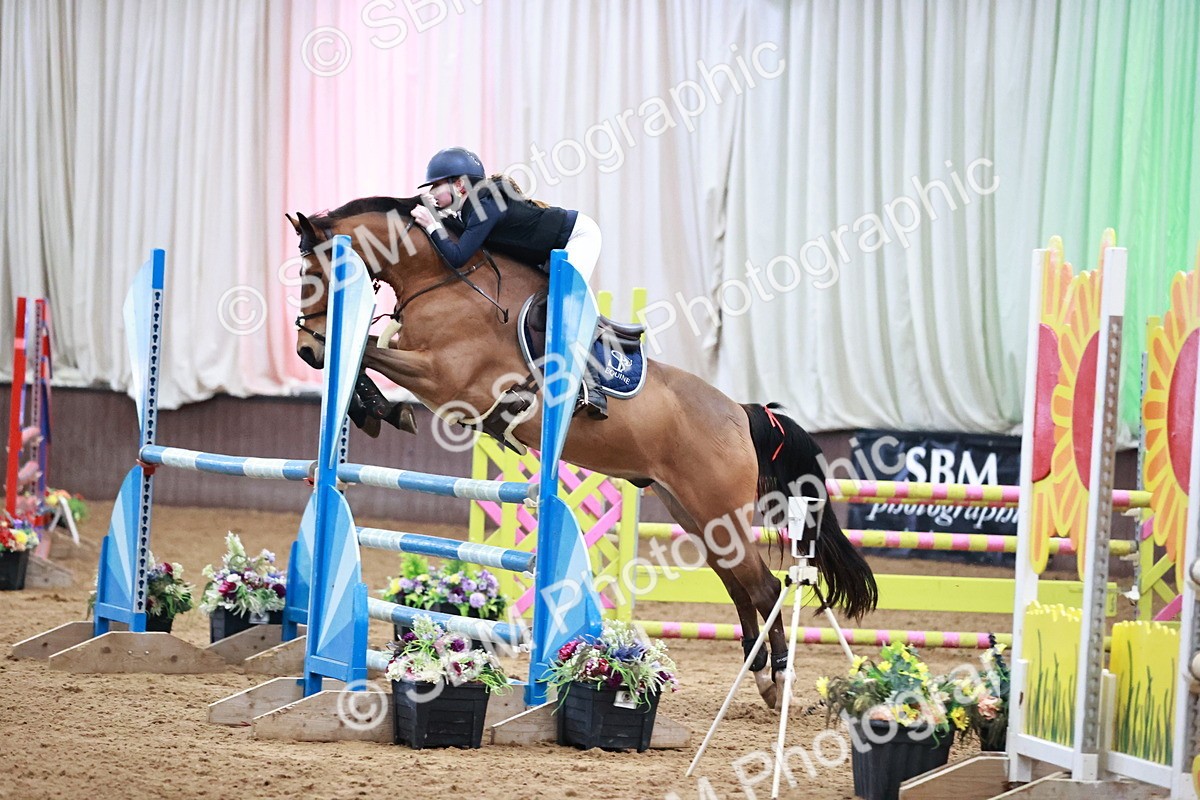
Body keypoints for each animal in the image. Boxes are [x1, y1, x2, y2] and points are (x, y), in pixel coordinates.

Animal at [288, 196, 877, 708]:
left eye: (311, 273)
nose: (308, 351)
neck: (443, 281)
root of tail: (741, 411)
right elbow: (367, 351)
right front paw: (373, 408)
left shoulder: (446, 378)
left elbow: (370, 350)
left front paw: (380, 408)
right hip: (699, 517)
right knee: (739, 588)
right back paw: (759, 675)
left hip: (720, 513)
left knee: (764, 586)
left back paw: (778, 681)